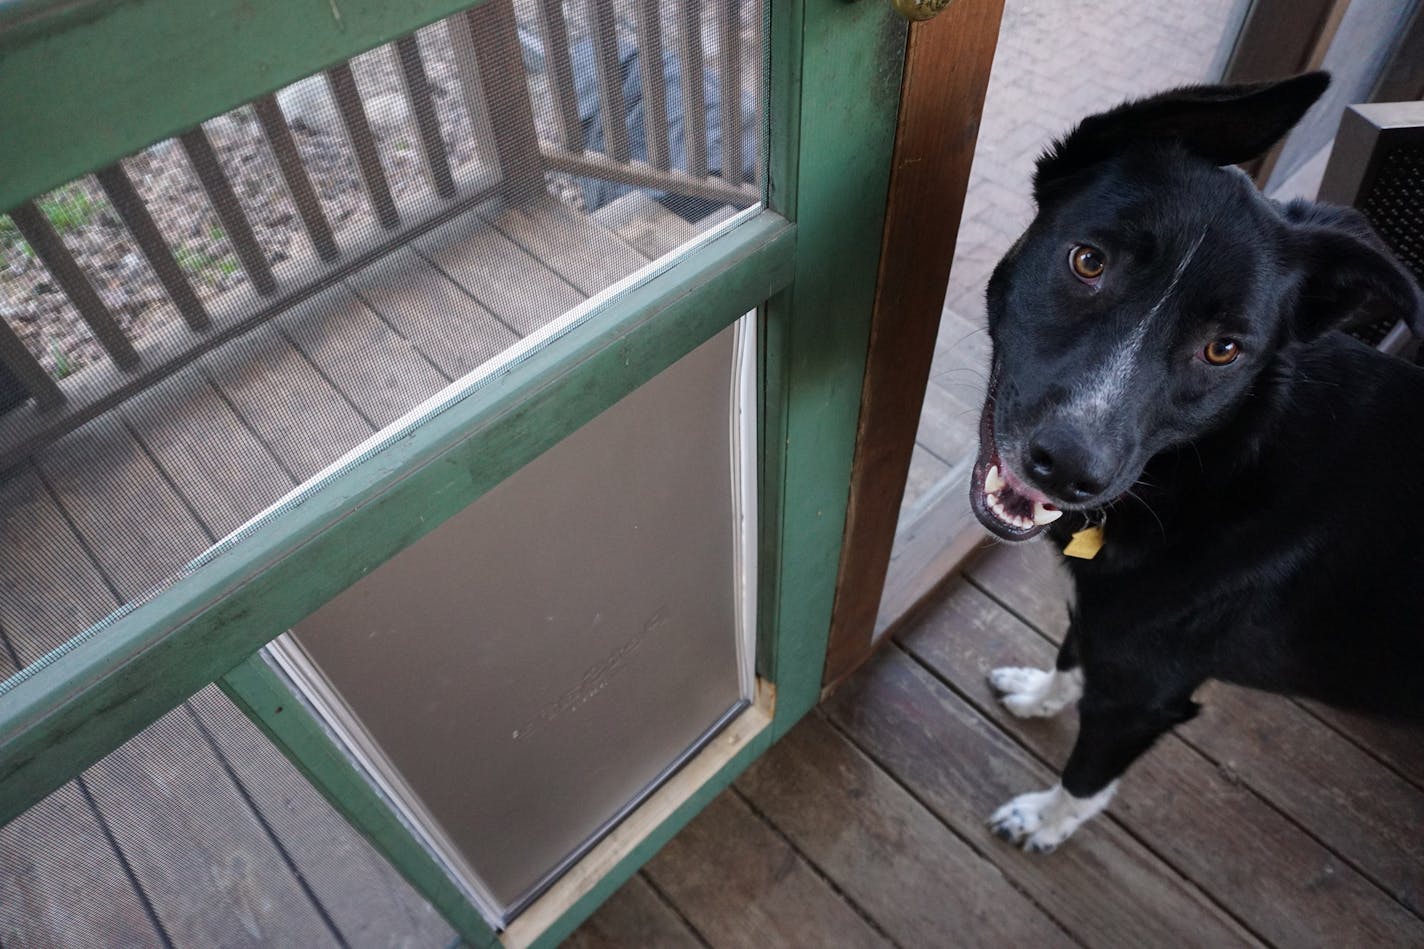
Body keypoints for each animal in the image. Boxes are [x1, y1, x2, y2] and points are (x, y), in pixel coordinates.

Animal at [974, 70, 1424, 843]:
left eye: (1224, 349)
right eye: (1088, 260)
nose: (1072, 468)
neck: (1218, 465)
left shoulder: (1145, 693)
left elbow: (1086, 777)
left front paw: (1043, 820)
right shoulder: (1105, 623)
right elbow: (1071, 654)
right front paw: (1038, 695)